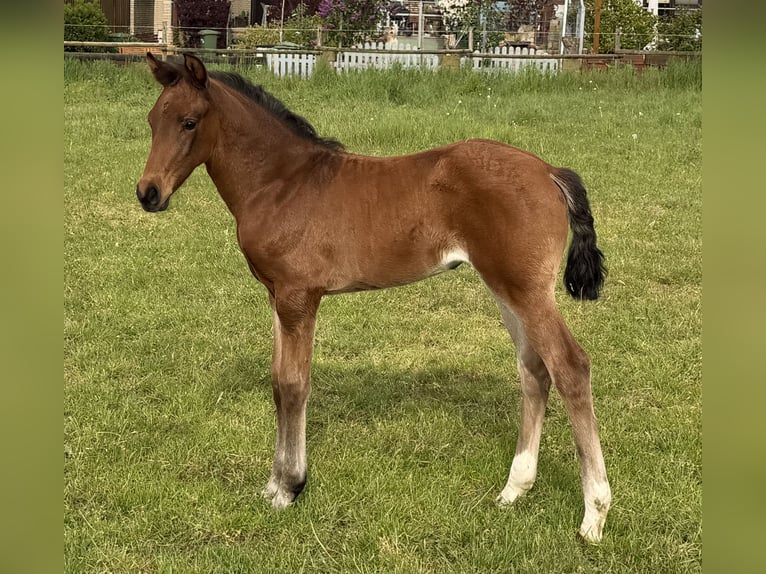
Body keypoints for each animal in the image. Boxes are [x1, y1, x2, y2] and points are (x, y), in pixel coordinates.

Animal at [136, 53, 612, 543]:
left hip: (526, 289)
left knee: (570, 366)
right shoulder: (276, 296)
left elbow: (294, 385)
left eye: (189, 121)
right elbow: (277, 383)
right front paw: (272, 483)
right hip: (506, 287)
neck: (281, 183)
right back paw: (514, 490)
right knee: (534, 369)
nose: (148, 193)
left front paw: (289, 488)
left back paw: (593, 515)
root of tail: (549, 172)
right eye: (152, 120)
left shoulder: (299, 297)